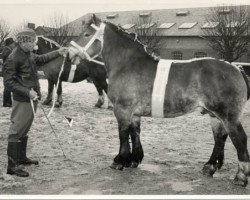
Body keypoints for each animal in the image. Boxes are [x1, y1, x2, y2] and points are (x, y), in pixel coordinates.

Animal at [67, 14, 250, 187]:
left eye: (86, 34)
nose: (69, 54)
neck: (127, 64)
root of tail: (237, 69)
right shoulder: (134, 114)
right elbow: (135, 133)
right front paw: (134, 160)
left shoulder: (122, 110)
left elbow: (123, 134)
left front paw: (119, 160)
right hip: (215, 115)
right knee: (220, 138)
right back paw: (210, 167)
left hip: (229, 117)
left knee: (239, 139)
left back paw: (240, 177)